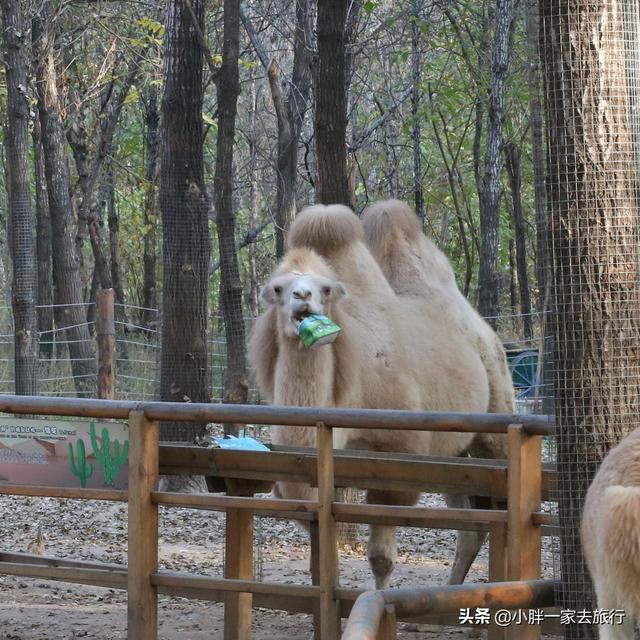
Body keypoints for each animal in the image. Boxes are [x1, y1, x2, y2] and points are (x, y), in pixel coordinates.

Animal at [250, 201, 516, 592]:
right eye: (279, 287)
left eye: (324, 288)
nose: (303, 297)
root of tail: (485, 330)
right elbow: (320, 557)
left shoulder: (398, 459)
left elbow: (381, 558)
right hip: (451, 454)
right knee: (472, 525)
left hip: (494, 416)